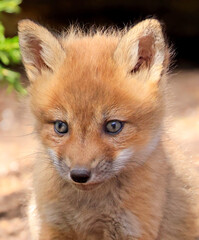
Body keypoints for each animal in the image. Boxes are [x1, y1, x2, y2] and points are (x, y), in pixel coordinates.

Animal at [17, 17, 198, 239]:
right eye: (61, 126)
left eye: (113, 126)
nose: (79, 175)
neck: (88, 209)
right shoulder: (52, 224)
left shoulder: (132, 229)